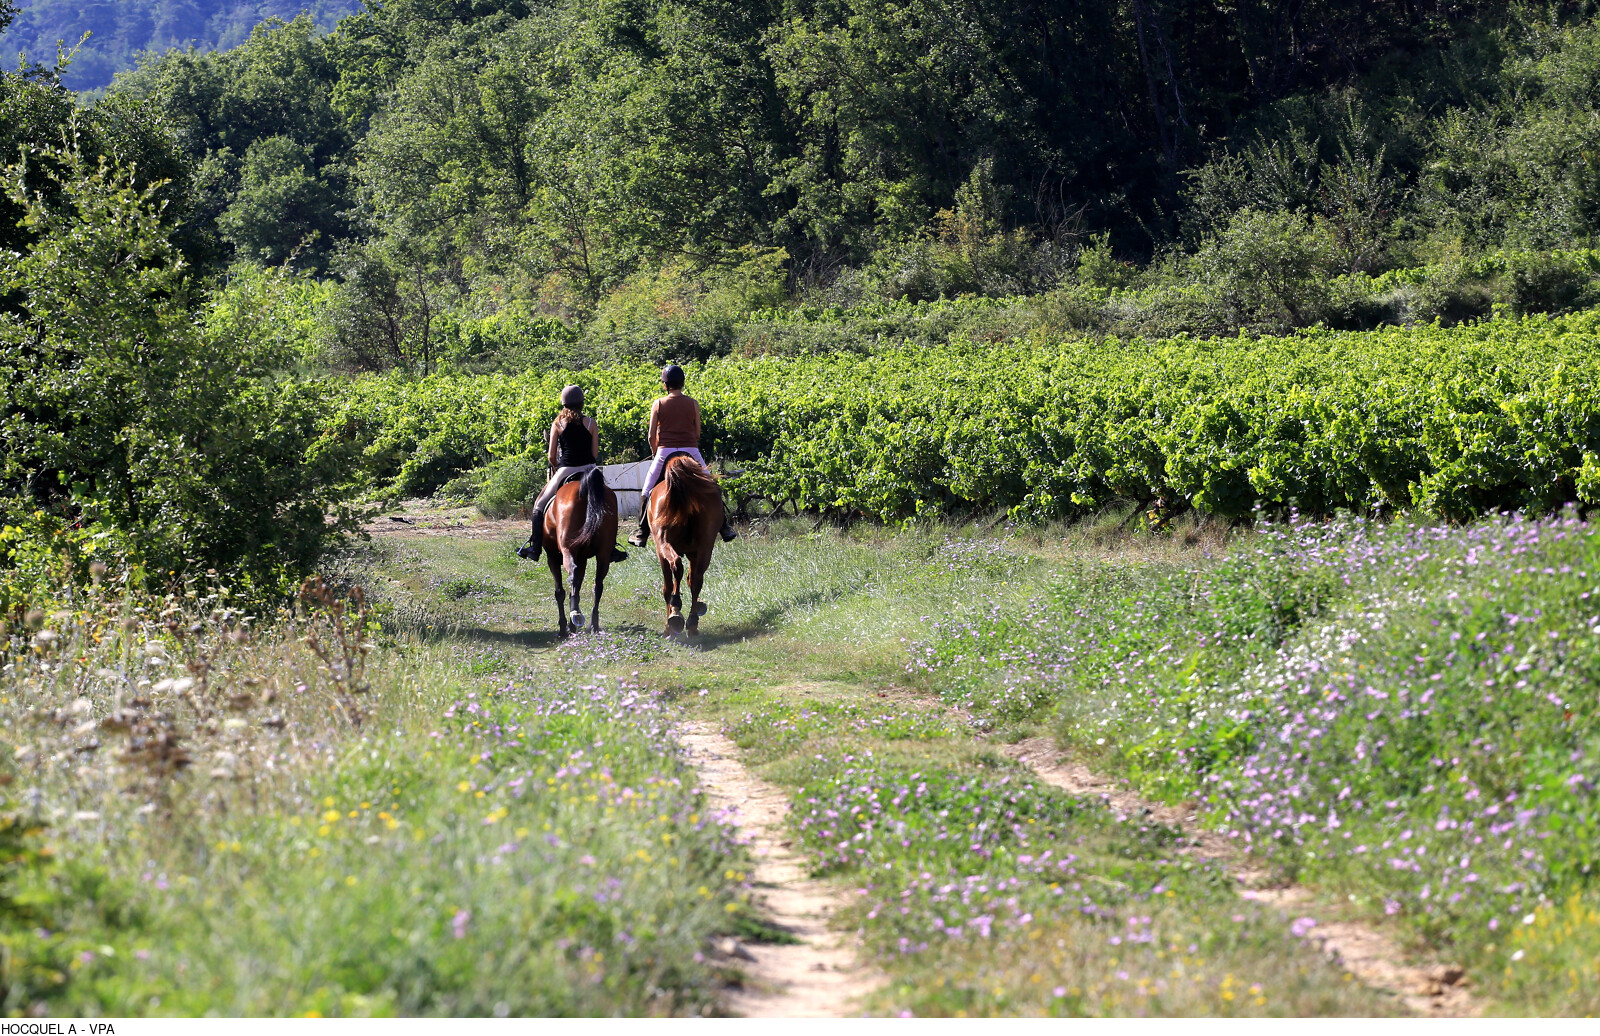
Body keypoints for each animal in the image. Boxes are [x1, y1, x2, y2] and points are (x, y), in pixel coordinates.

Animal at [537, 466, 617, 629]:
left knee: (572, 574)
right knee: (598, 585)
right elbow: (578, 586)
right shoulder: (583, 558)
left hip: (567, 549)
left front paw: (564, 626)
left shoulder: (552, 557)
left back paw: (575, 616)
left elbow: (560, 591)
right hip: (604, 553)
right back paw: (593, 625)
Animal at [649, 454, 726, 636]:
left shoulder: (660, 552)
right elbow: (690, 580)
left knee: (676, 567)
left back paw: (676, 615)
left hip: (663, 542)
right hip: (706, 547)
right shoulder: (694, 553)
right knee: (696, 579)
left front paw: (669, 623)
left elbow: (668, 587)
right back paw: (691, 623)